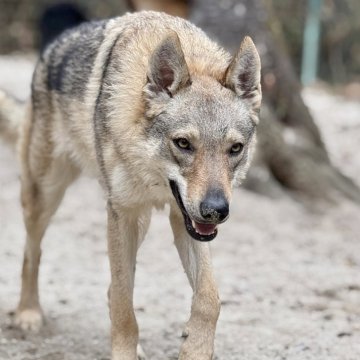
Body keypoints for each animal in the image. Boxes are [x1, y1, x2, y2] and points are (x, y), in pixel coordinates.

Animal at [0, 11, 262, 360]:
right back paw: (28, 313)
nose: (216, 210)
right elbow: (125, 306)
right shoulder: (122, 213)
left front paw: (195, 348)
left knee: (113, 284)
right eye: (183, 143)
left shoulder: (184, 220)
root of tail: (52, 45)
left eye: (234, 148)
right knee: (33, 252)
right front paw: (124, 350)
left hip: (141, 222)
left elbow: (209, 297)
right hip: (45, 197)